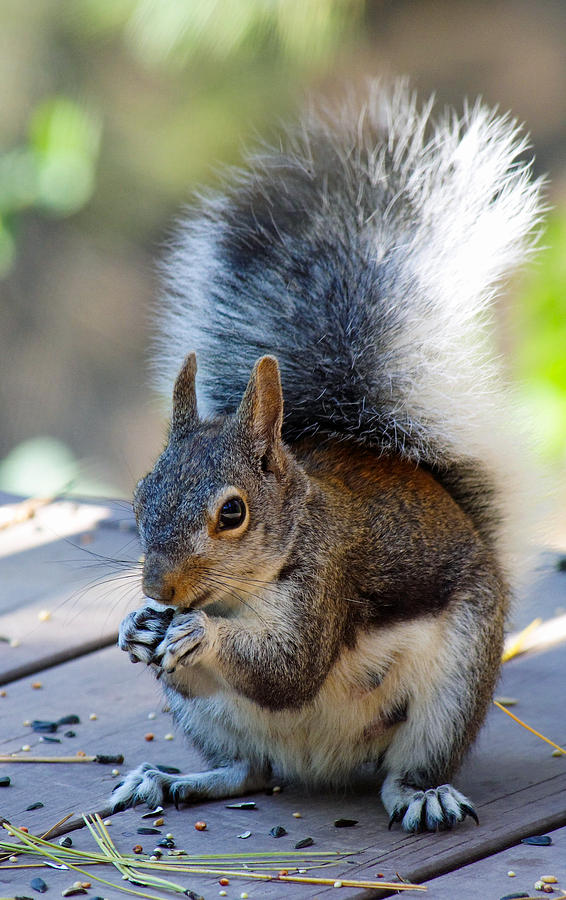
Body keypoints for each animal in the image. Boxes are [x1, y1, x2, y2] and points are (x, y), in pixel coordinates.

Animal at [113, 82, 544, 828]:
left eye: (233, 513)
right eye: (140, 498)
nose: (159, 591)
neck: (241, 595)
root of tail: (320, 763)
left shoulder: (328, 580)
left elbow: (288, 669)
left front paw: (200, 637)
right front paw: (137, 627)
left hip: (453, 687)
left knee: (404, 767)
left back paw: (421, 795)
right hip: (213, 725)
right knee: (248, 769)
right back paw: (174, 781)